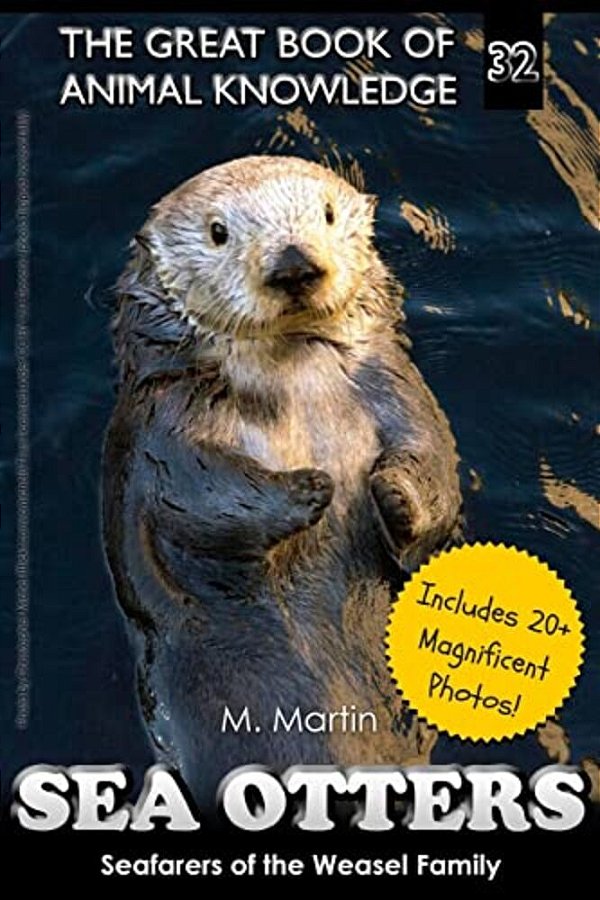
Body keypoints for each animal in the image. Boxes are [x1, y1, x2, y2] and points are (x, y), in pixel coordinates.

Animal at [102, 155, 461, 806]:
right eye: (218, 232)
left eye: (327, 212)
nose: (294, 265)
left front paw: (394, 496)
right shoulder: (163, 429)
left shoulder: (396, 387)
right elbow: (196, 494)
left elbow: (435, 460)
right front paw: (309, 490)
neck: (289, 376)